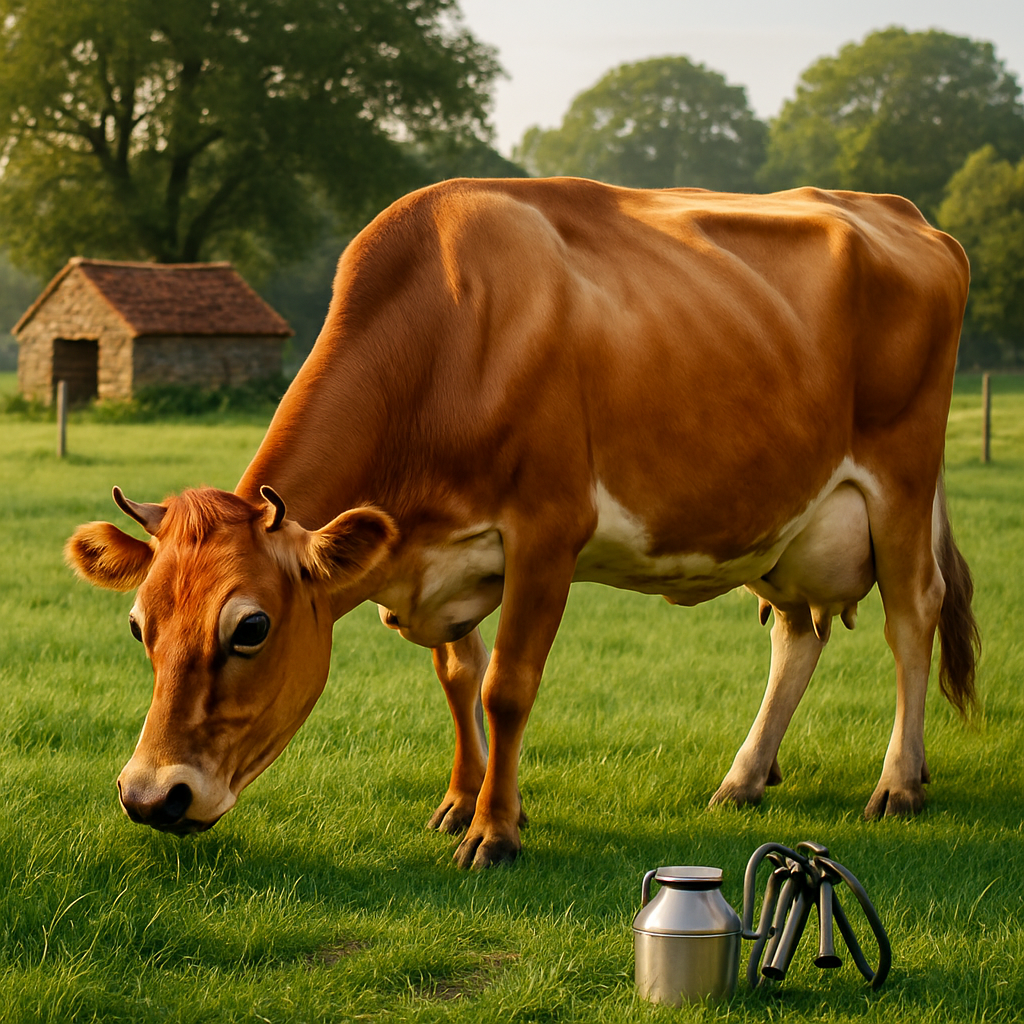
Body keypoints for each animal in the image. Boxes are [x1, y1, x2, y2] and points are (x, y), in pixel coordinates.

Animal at [66, 177, 980, 870]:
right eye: (140, 626)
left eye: (250, 628)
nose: (150, 795)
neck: (448, 339)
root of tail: (902, 212)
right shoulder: (437, 555)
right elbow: (456, 676)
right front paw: (461, 799)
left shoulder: (547, 529)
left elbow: (507, 686)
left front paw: (494, 832)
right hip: (786, 519)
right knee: (797, 635)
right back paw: (745, 778)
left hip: (900, 481)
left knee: (912, 617)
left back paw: (898, 783)